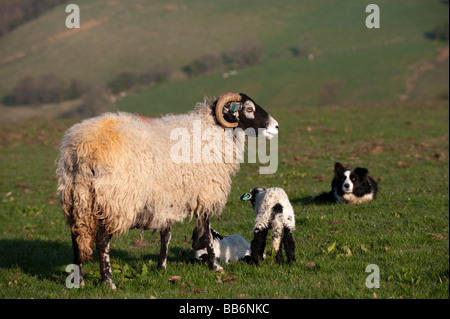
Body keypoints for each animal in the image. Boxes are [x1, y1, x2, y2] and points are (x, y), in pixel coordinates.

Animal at [56, 92, 278, 290]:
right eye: (249, 109)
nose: (275, 127)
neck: (213, 131)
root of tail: (82, 148)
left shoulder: (166, 197)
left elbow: (166, 234)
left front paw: (161, 267)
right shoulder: (205, 194)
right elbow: (207, 234)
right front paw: (215, 266)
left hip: (77, 199)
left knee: (77, 239)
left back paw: (79, 281)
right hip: (116, 201)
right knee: (102, 242)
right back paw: (109, 282)